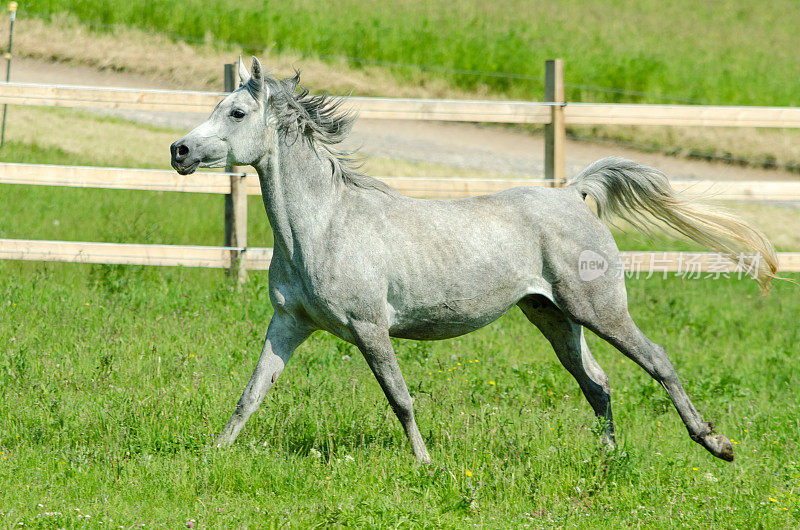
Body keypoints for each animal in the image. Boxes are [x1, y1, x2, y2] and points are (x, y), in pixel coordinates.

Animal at [169, 58, 776, 462]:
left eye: (237, 111)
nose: (179, 150)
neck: (323, 226)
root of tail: (572, 194)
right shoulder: (289, 323)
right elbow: (251, 394)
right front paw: (211, 452)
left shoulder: (369, 328)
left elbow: (400, 398)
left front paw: (424, 462)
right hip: (553, 316)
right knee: (596, 382)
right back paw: (607, 458)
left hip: (600, 309)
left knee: (657, 361)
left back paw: (716, 444)